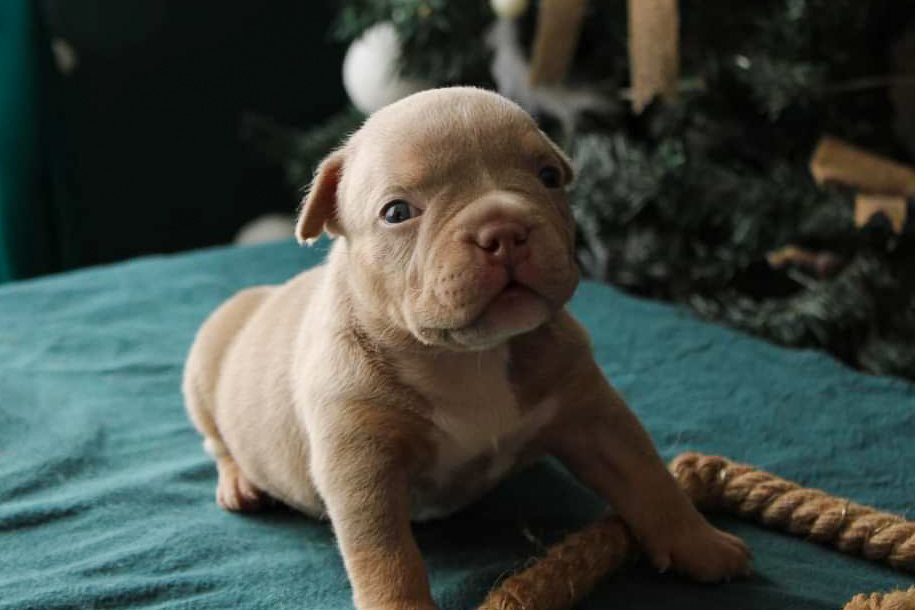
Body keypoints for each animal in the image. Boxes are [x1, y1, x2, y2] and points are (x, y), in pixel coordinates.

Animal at [183, 87, 751, 610]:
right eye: (397, 212)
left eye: (549, 177)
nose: (505, 229)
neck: (465, 356)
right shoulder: (361, 465)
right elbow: (386, 556)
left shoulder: (594, 415)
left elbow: (648, 478)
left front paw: (700, 544)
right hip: (205, 358)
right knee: (216, 440)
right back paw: (239, 484)